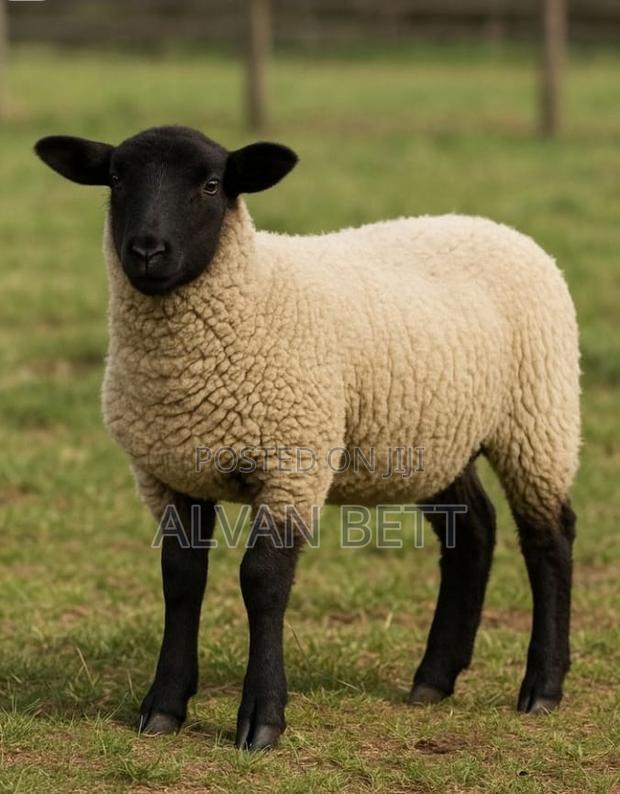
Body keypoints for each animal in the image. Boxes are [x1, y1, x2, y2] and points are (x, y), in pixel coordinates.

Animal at [35, 125, 580, 750]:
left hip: (538, 415)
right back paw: (434, 680)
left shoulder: (292, 460)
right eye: (116, 178)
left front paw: (262, 721)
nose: (147, 251)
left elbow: (263, 582)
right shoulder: (170, 472)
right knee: (473, 532)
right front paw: (164, 707)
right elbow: (181, 581)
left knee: (548, 538)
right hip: (433, 438)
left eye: (212, 184)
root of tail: (498, 227)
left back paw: (541, 688)